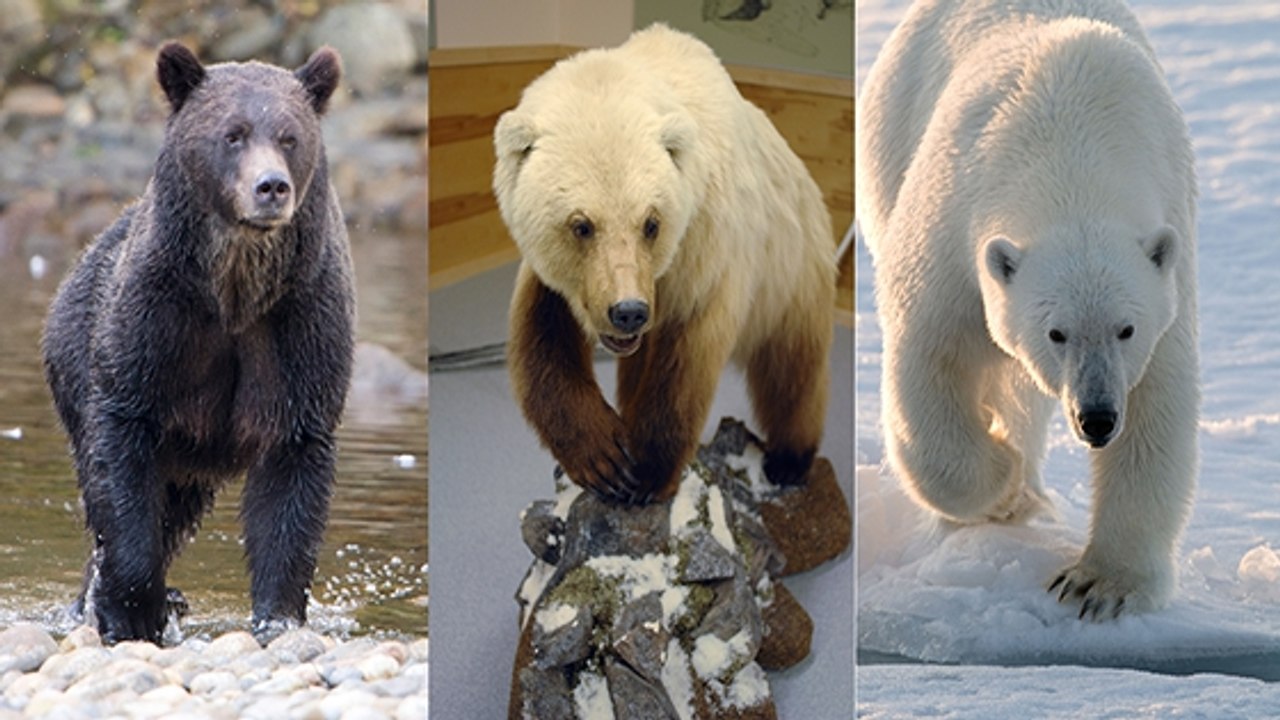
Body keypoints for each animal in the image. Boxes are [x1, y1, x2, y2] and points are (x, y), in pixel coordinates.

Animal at [41, 42, 354, 644]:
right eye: (233, 134)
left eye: (289, 136)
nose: (271, 187)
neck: (235, 289)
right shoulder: (156, 325)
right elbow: (122, 461)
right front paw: (134, 609)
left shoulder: (300, 327)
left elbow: (292, 476)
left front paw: (279, 617)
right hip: (73, 353)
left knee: (176, 507)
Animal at [493, 24, 837, 505]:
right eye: (581, 225)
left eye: (650, 223)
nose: (628, 311)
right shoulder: (560, 280)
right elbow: (543, 336)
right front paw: (603, 456)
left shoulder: (706, 247)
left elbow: (686, 362)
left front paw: (645, 473)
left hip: (792, 270)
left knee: (792, 367)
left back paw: (789, 459)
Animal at [855, 0, 1198, 619]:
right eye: (1056, 332)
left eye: (1126, 329)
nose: (1097, 418)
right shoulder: (953, 226)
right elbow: (931, 356)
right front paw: (1005, 485)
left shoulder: (1166, 266)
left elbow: (1158, 405)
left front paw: (1100, 585)